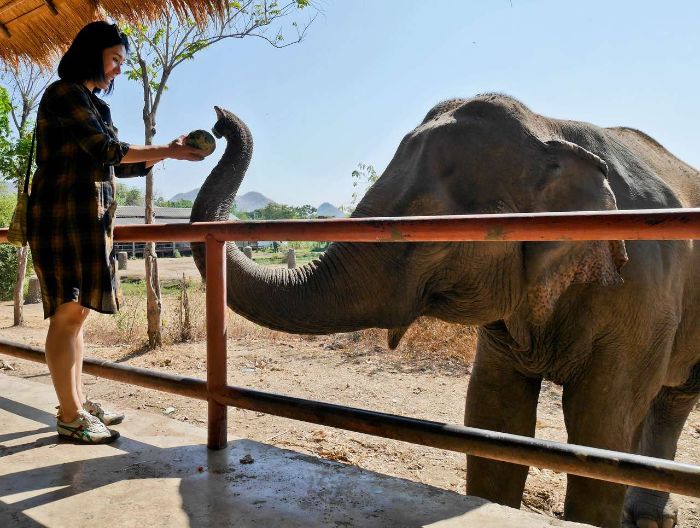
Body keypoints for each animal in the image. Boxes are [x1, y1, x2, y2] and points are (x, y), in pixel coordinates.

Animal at [190, 97, 700, 524]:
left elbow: (601, 427)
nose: (214, 124)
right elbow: (494, 413)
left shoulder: (643, 289)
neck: (549, 126)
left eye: (427, 232)